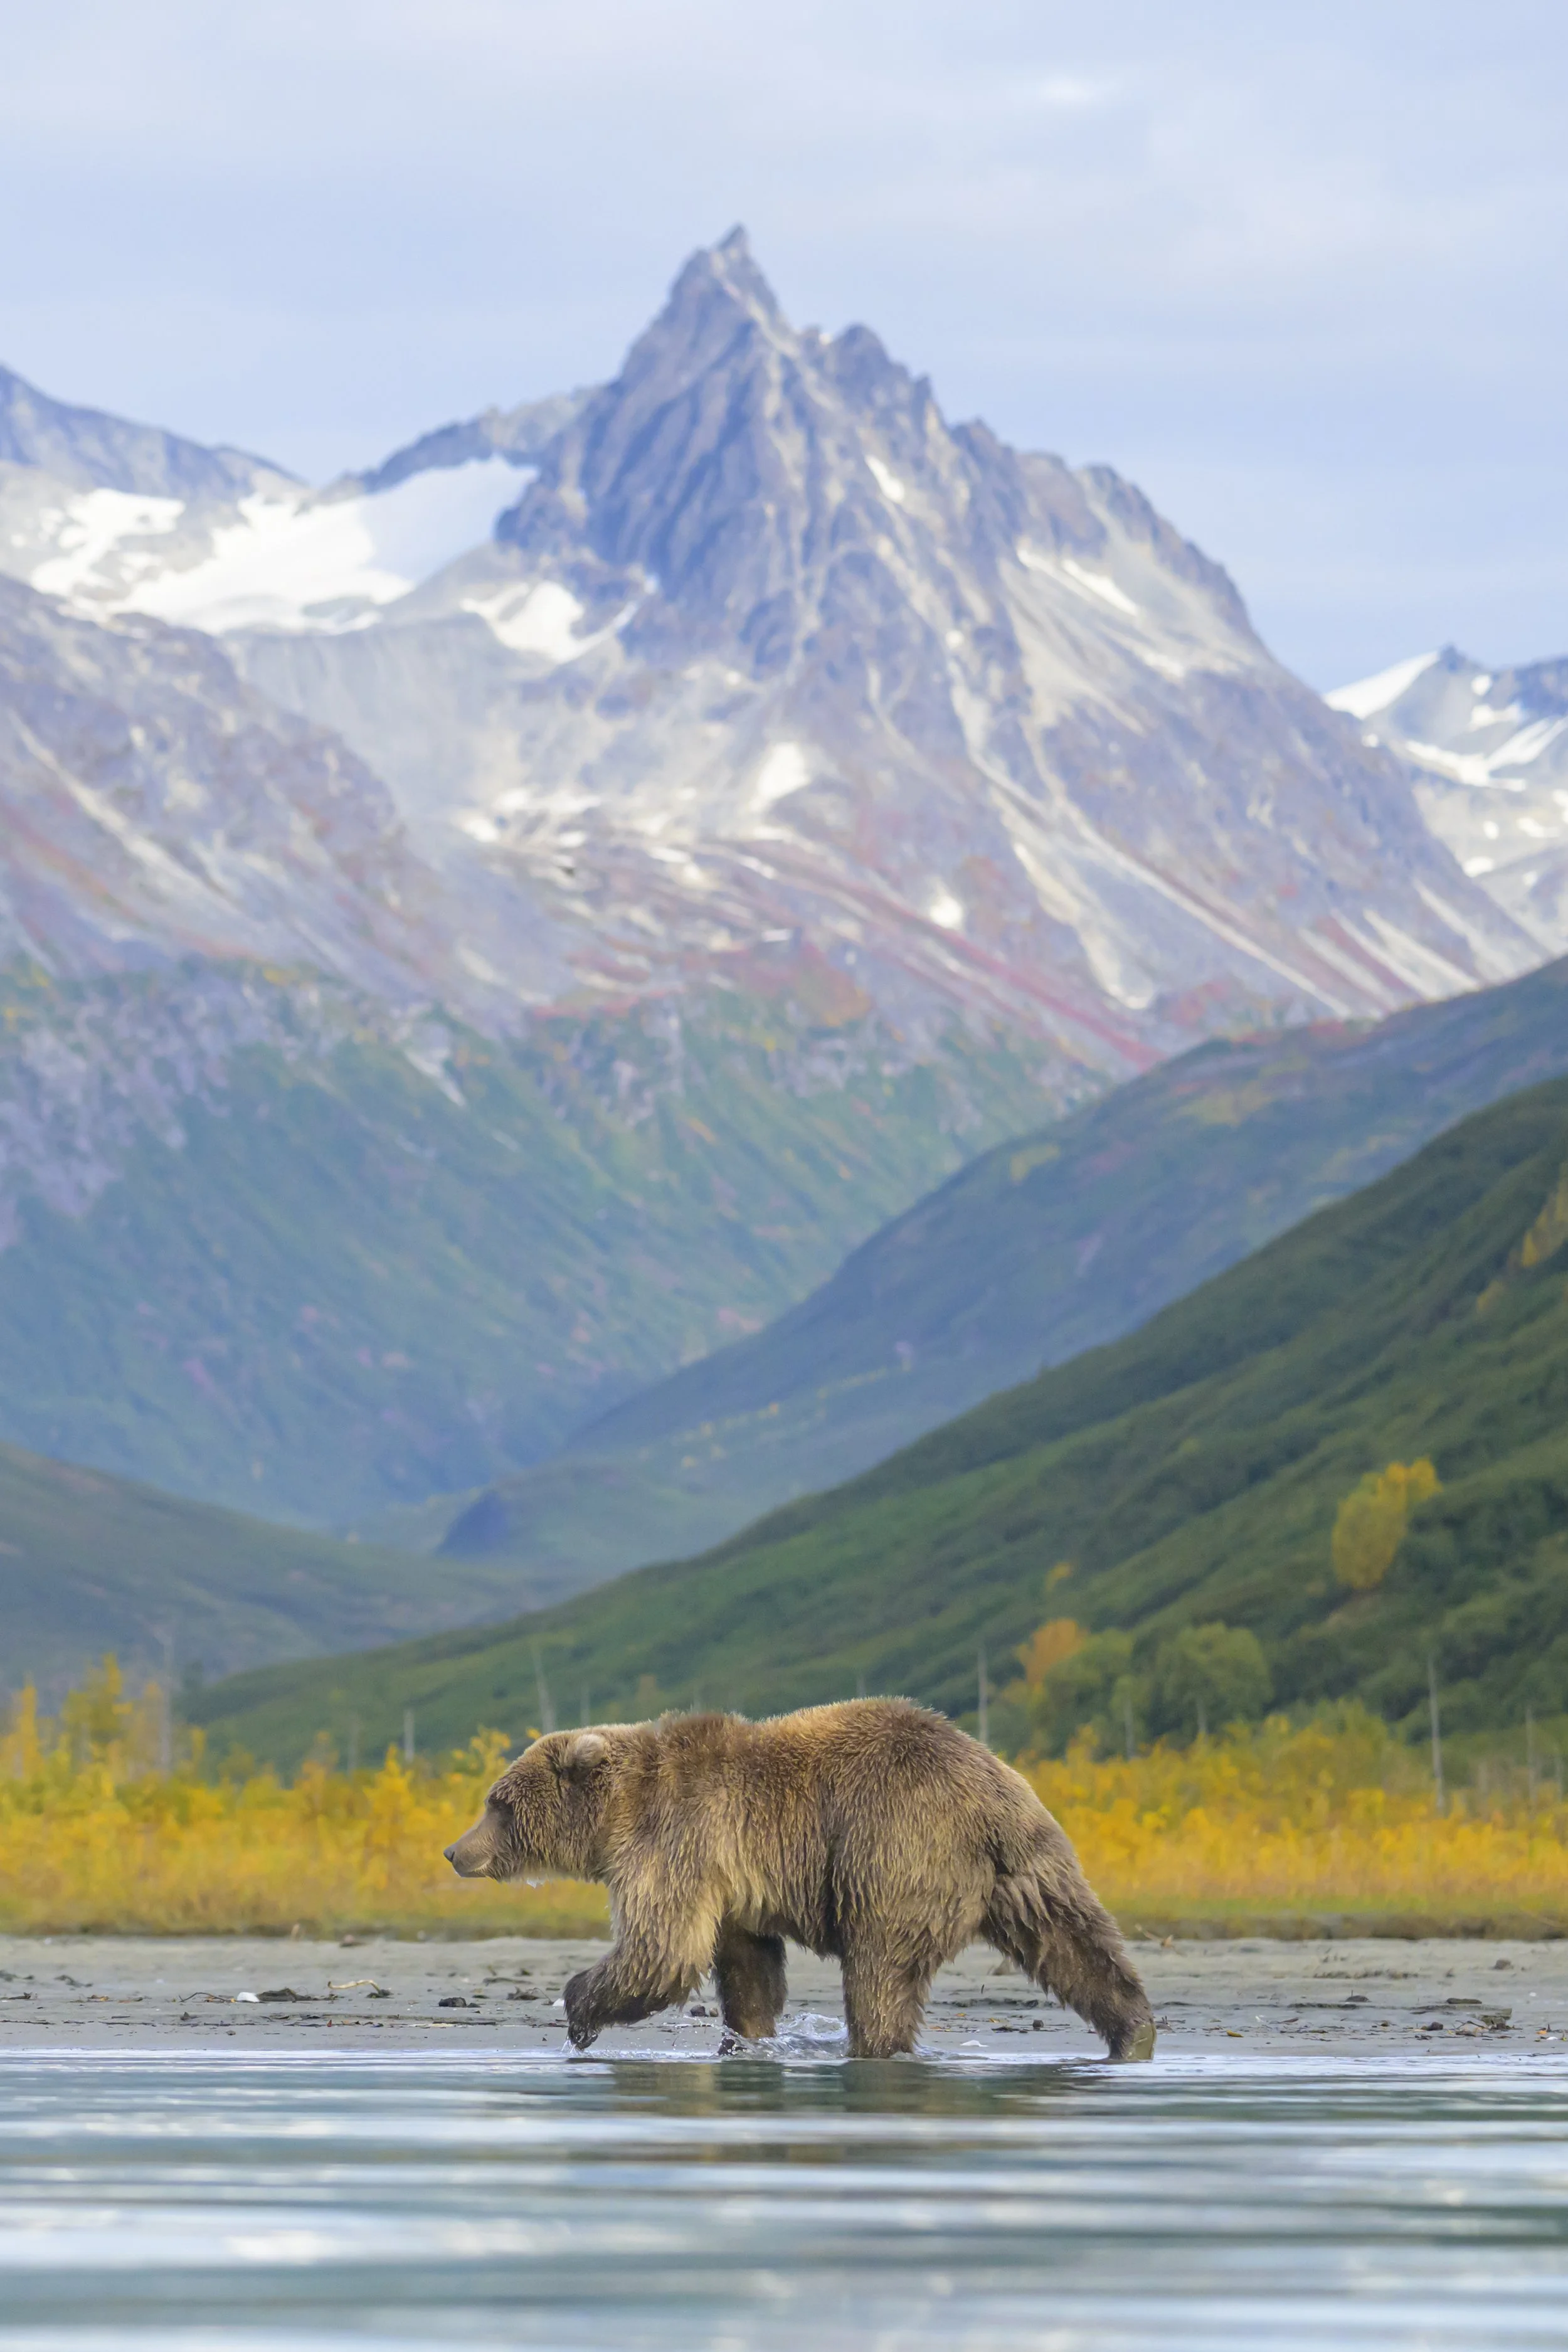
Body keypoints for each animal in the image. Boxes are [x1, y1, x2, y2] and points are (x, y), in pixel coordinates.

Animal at [444, 1698, 1156, 2061]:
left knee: (881, 1970)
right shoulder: (729, 1882)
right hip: (1031, 1866)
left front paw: (578, 2010)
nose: (455, 1851)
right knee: (1078, 1945)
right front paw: (747, 2037)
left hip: (892, 1851)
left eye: (498, 1804)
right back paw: (1134, 2031)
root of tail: (987, 1799)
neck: (619, 1815)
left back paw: (873, 2046)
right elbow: (747, 1966)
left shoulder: (675, 1841)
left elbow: (661, 1948)